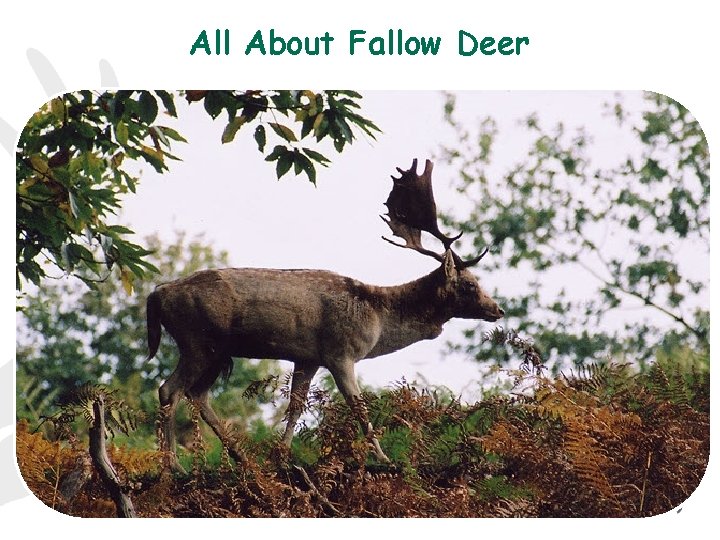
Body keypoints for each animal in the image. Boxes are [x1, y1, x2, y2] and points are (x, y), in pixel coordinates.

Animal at [146, 158, 504, 471]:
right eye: (470, 284)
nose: (497, 309)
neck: (377, 317)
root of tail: (158, 293)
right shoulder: (340, 351)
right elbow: (358, 408)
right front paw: (384, 458)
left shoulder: (308, 358)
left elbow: (295, 407)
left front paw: (282, 455)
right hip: (197, 340)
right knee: (170, 389)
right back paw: (174, 464)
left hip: (217, 351)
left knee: (198, 395)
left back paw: (241, 458)